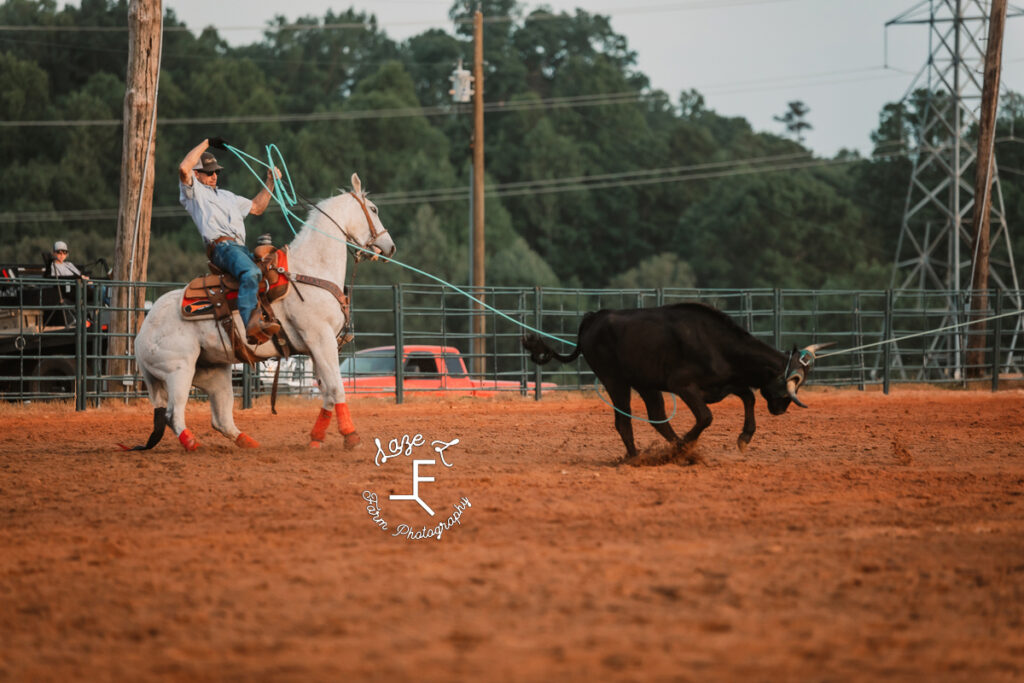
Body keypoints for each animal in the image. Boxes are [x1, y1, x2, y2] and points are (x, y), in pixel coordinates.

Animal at [124, 175, 395, 454]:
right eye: (374, 209)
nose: (390, 247)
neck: (310, 270)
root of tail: (142, 333)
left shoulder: (317, 346)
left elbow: (328, 392)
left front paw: (316, 437)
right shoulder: (320, 338)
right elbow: (337, 388)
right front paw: (351, 436)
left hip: (213, 373)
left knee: (220, 419)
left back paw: (248, 442)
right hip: (179, 371)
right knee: (173, 415)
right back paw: (193, 445)